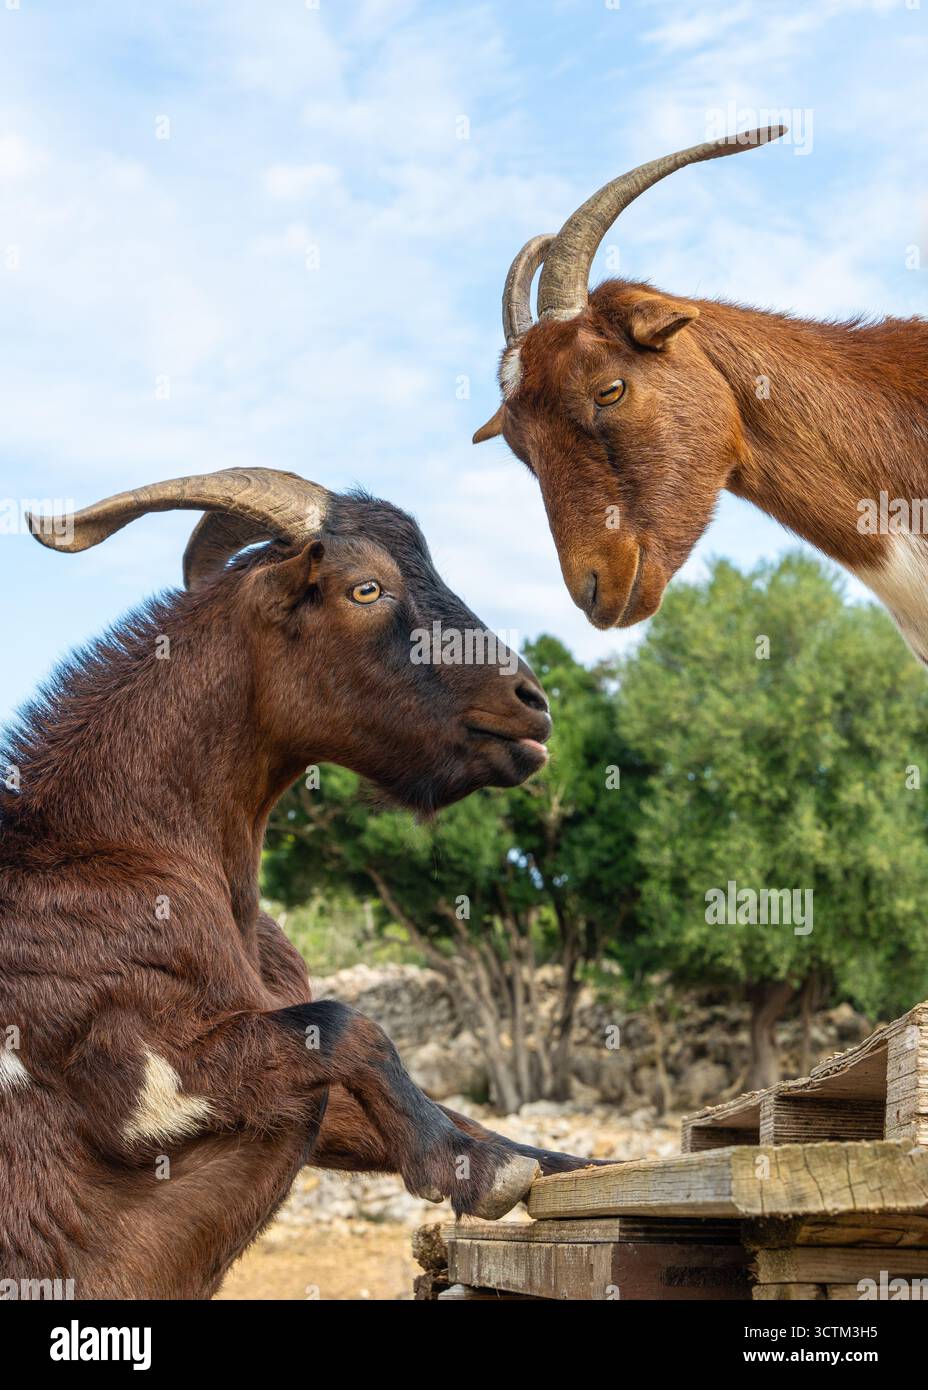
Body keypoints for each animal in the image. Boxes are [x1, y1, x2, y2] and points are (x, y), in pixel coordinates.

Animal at [0, 467, 591, 1299]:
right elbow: (350, 1026)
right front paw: (471, 1170)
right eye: (366, 588)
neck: (112, 845)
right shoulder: (136, 1079)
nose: (532, 707)